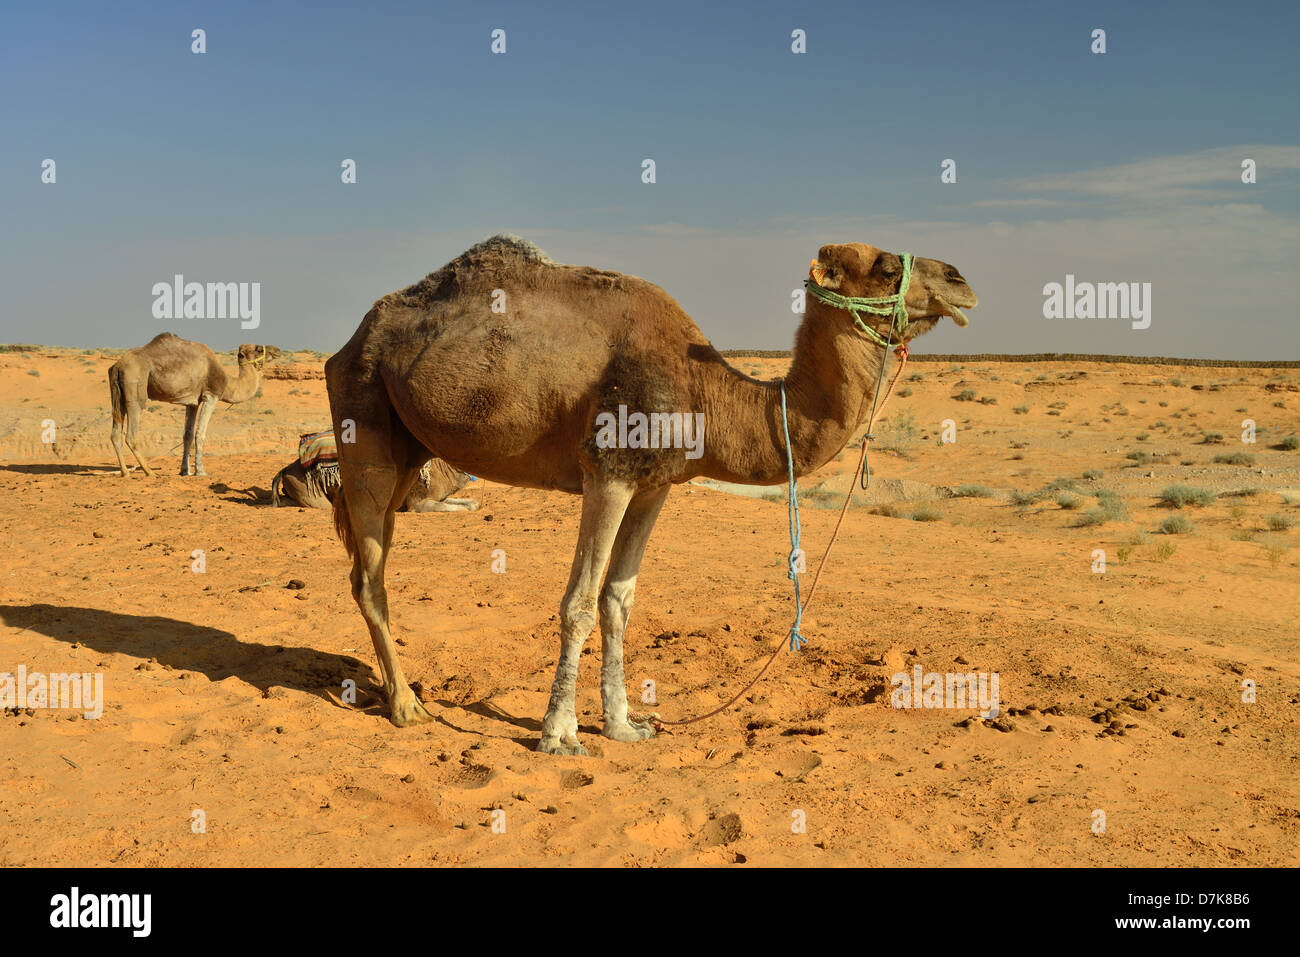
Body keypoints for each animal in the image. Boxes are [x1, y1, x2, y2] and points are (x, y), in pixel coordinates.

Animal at [108, 335, 279, 478]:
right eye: (258, 349)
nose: (277, 350)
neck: (228, 383)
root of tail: (118, 366)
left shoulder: (192, 402)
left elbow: (187, 435)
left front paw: (184, 471)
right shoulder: (211, 396)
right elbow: (200, 434)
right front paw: (201, 471)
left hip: (118, 396)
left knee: (115, 433)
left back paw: (125, 472)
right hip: (135, 388)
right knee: (131, 433)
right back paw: (149, 472)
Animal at [325, 237, 977, 754]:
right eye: (886, 266)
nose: (961, 280)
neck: (705, 392)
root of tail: (349, 341)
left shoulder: (655, 485)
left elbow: (619, 599)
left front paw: (623, 726)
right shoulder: (609, 471)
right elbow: (579, 602)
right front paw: (559, 736)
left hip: (410, 447)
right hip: (364, 414)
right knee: (369, 573)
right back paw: (406, 706)